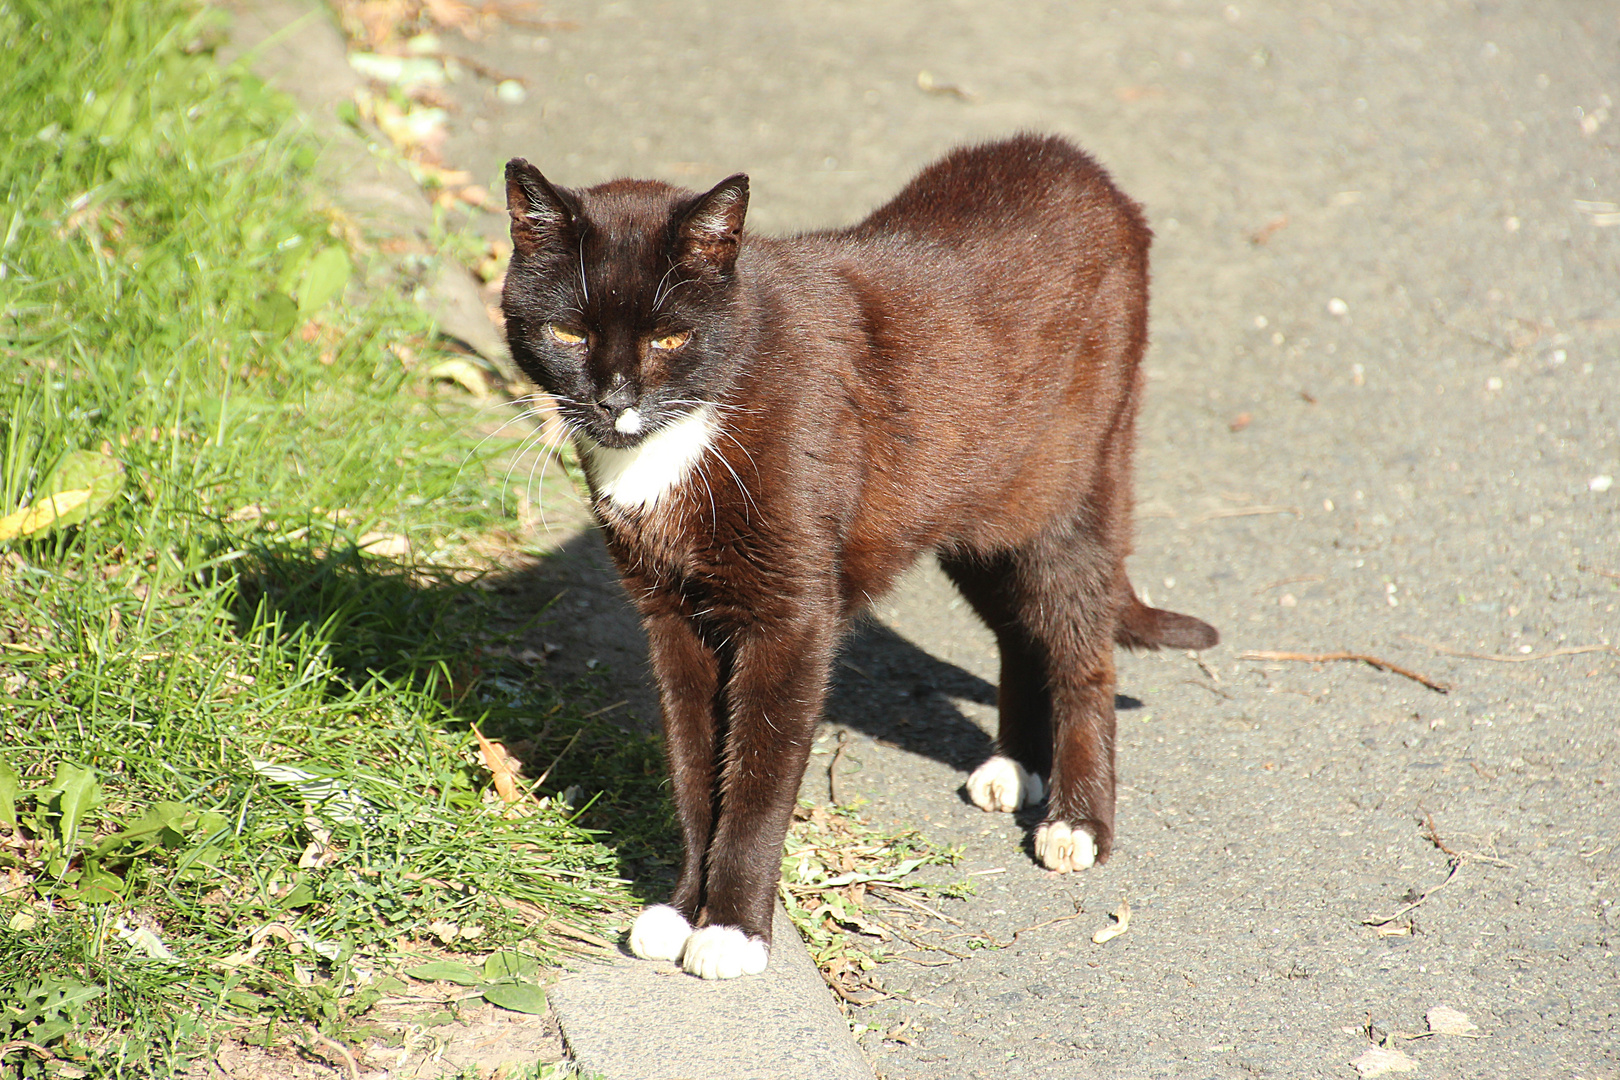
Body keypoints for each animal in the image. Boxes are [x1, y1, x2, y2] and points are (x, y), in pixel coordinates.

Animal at [502, 135, 1218, 977]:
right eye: (570, 334)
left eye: (670, 338)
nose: (614, 401)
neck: (684, 439)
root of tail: (1080, 165)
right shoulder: (672, 616)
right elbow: (692, 770)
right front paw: (680, 912)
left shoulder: (792, 619)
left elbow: (755, 779)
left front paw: (732, 929)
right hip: (968, 512)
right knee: (1021, 628)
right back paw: (1015, 764)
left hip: (1067, 492)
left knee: (1083, 647)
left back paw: (1078, 822)